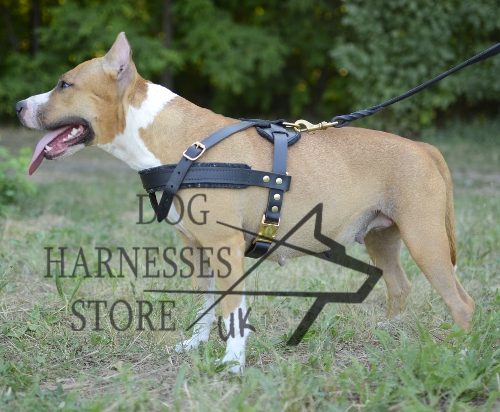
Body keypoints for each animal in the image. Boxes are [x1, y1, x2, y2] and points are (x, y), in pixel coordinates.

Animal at [15, 33, 474, 374]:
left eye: (64, 84)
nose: (19, 106)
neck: (179, 144)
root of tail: (424, 148)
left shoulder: (226, 247)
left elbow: (231, 308)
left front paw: (232, 364)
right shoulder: (197, 249)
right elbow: (206, 304)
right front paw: (195, 345)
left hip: (425, 240)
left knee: (461, 302)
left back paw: (462, 352)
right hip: (383, 237)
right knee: (400, 285)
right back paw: (388, 331)